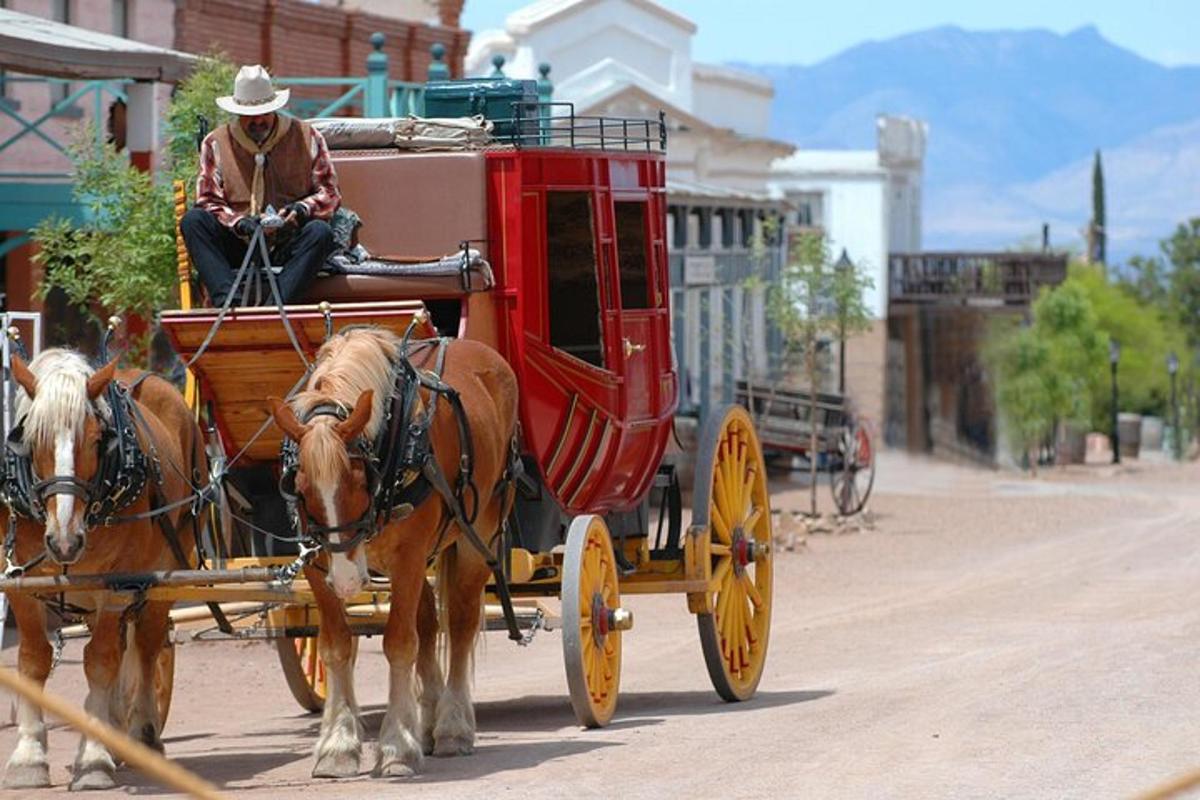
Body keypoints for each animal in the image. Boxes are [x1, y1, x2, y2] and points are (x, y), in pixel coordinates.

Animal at [0, 347, 206, 791]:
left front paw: (93, 758)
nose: (64, 541)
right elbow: (32, 661)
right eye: (30, 440)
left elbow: (101, 661)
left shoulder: (114, 587)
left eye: (97, 440)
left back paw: (141, 734)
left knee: (146, 647)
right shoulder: (22, 582)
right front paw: (28, 756)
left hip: (162, 576)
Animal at [270, 326, 518, 782]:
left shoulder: (408, 556)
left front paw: (396, 747)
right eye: (301, 487)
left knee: (459, 623)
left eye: (357, 480)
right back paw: (429, 720)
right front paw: (338, 746)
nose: (347, 581)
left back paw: (453, 726)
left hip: (479, 533)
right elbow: (336, 645)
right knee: (429, 622)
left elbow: (400, 642)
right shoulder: (317, 561)